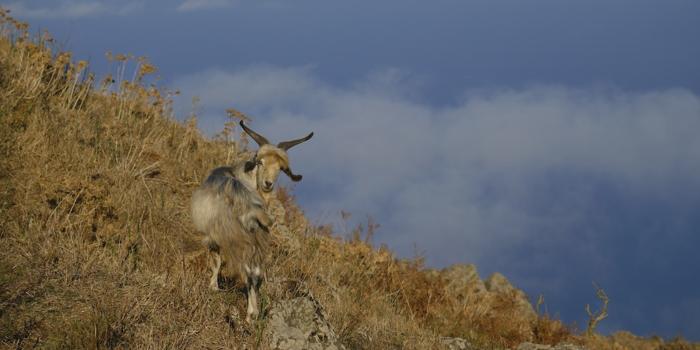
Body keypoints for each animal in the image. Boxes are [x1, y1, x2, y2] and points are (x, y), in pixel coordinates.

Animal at [190, 121, 314, 324]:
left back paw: (249, 314)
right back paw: (253, 313)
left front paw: (213, 287)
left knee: (247, 271)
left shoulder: (213, 236)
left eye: (280, 168)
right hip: (258, 242)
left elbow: (216, 261)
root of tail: (252, 210)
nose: (268, 183)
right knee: (256, 274)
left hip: (237, 240)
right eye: (261, 162)